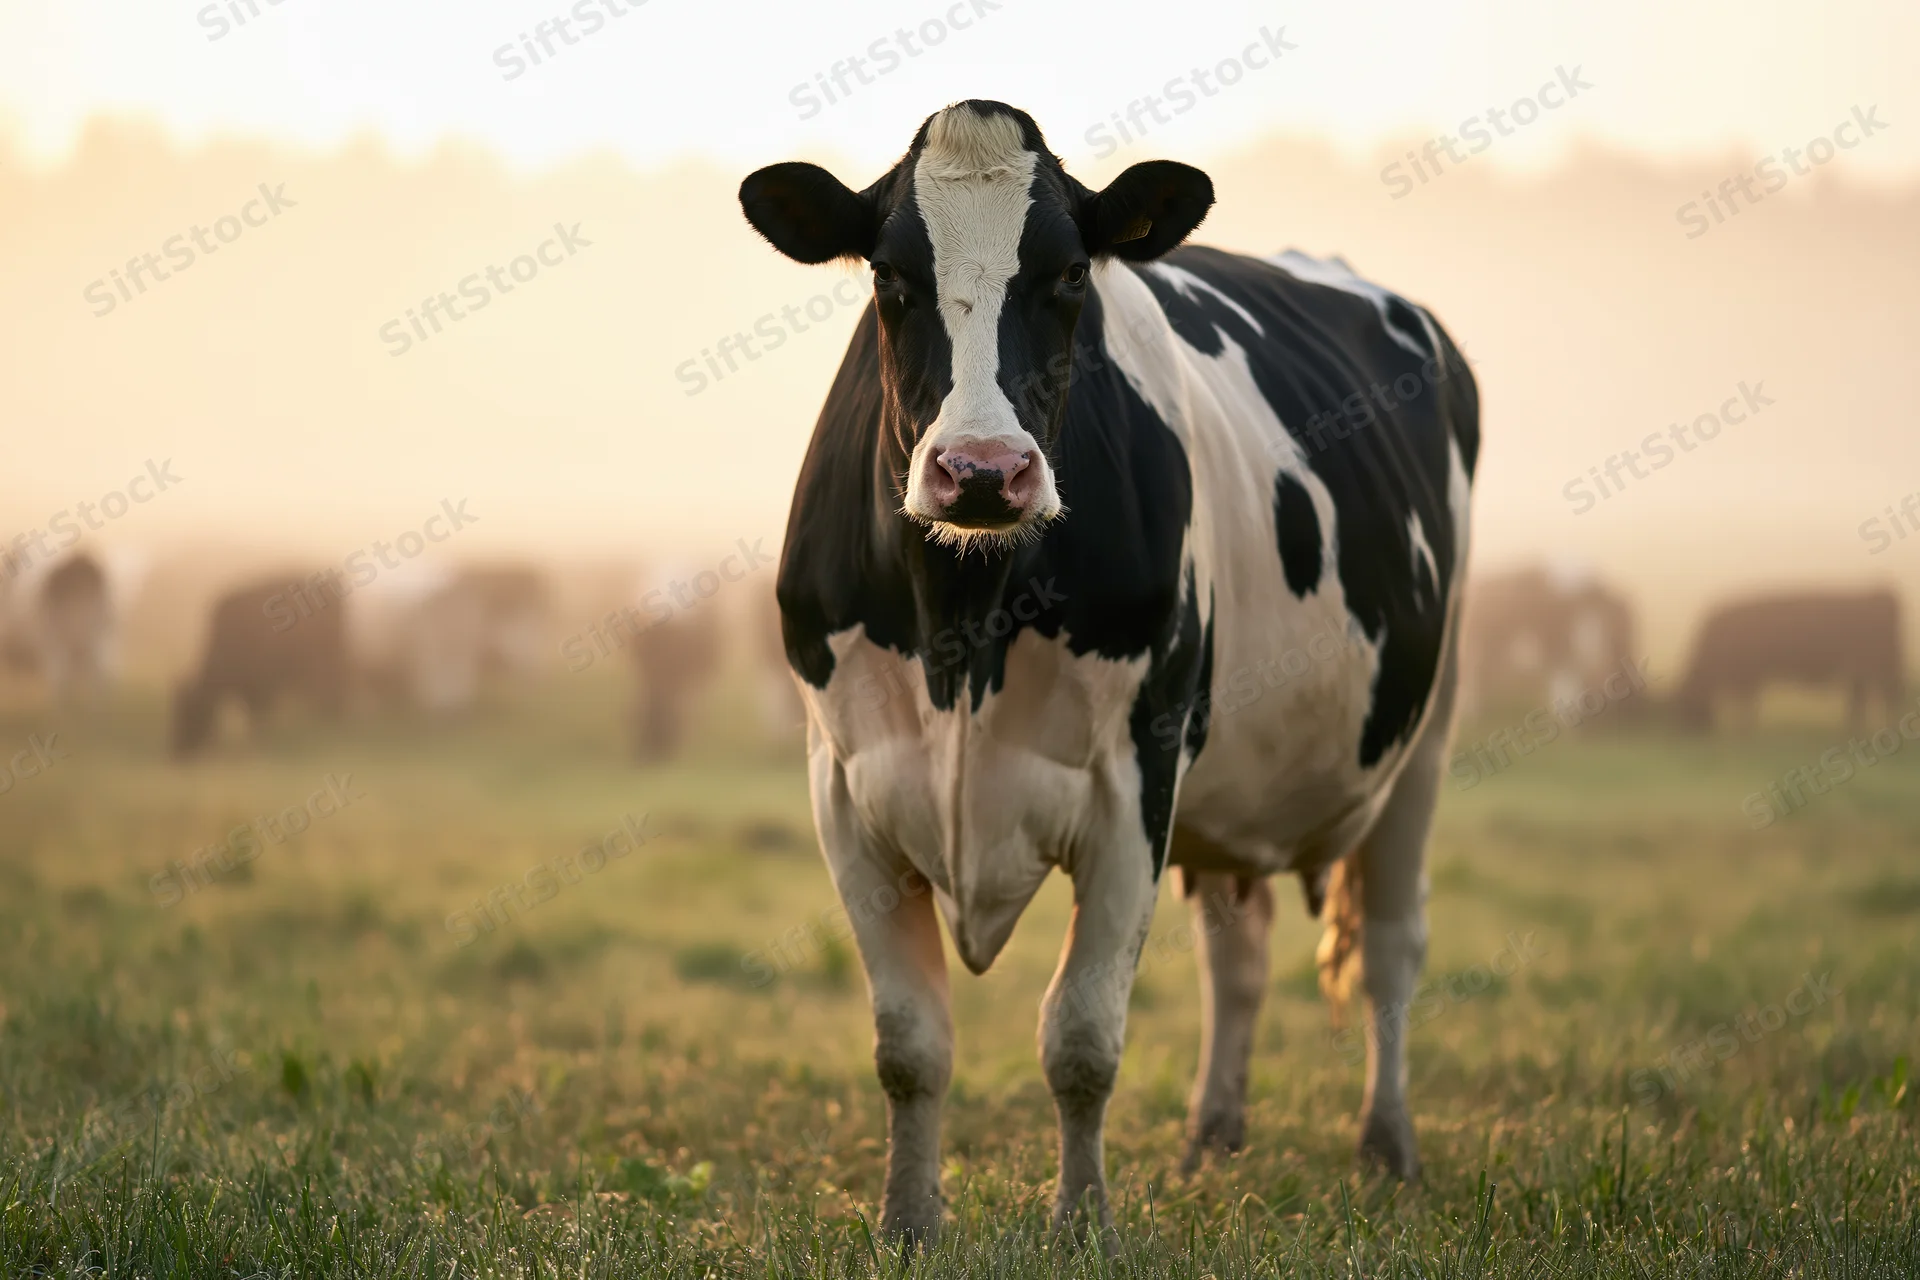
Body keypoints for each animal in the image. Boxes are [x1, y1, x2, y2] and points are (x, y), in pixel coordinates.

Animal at [739, 101, 1478, 1242]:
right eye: (890, 274)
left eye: (1072, 273)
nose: (983, 470)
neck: (965, 627)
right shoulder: (847, 785)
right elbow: (908, 1041)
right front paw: (907, 1221)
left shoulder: (1138, 775)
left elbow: (1081, 1036)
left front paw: (1082, 1219)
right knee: (1237, 951)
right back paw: (1210, 1142)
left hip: (1423, 734)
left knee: (1393, 945)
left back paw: (1386, 1149)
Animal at [1677, 588, 1904, 731]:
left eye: (1685, 701)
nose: (1691, 729)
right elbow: (1747, 703)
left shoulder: (1749, 675)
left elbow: (1747, 703)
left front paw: (1745, 729)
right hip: (1863, 670)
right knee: (1862, 697)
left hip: (1878, 667)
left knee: (1884, 694)